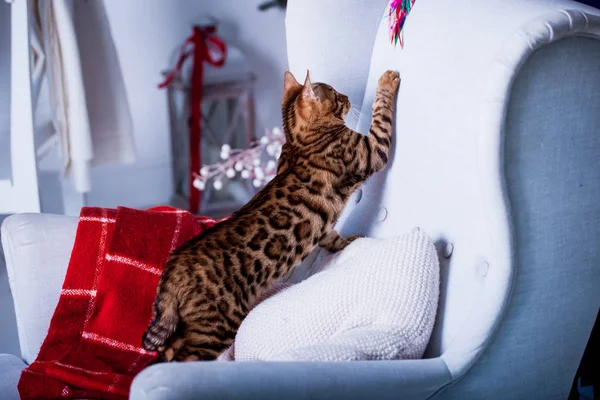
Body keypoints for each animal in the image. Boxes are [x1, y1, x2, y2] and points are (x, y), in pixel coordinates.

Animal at [143, 69, 400, 362]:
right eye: (335, 95)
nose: (347, 97)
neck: (298, 142)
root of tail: (172, 268)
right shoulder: (370, 151)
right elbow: (381, 116)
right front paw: (387, 80)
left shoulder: (320, 222)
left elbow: (331, 237)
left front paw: (346, 242)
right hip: (217, 326)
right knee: (184, 359)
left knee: (168, 348)